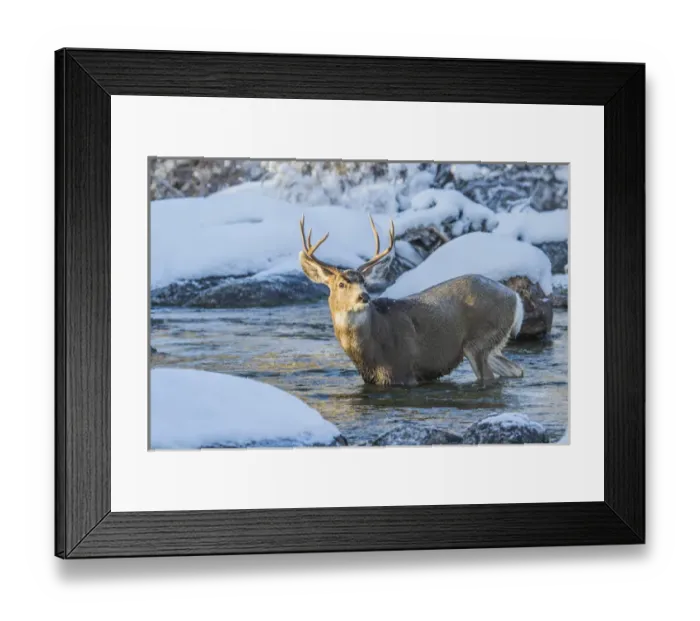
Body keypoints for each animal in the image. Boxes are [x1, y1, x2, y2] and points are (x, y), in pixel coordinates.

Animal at [298, 215, 525, 386]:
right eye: (341, 284)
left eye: (364, 281)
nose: (364, 296)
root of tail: (515, 297)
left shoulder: (403, 371)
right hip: (491, 344)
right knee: (516, 369)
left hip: (480, 340)